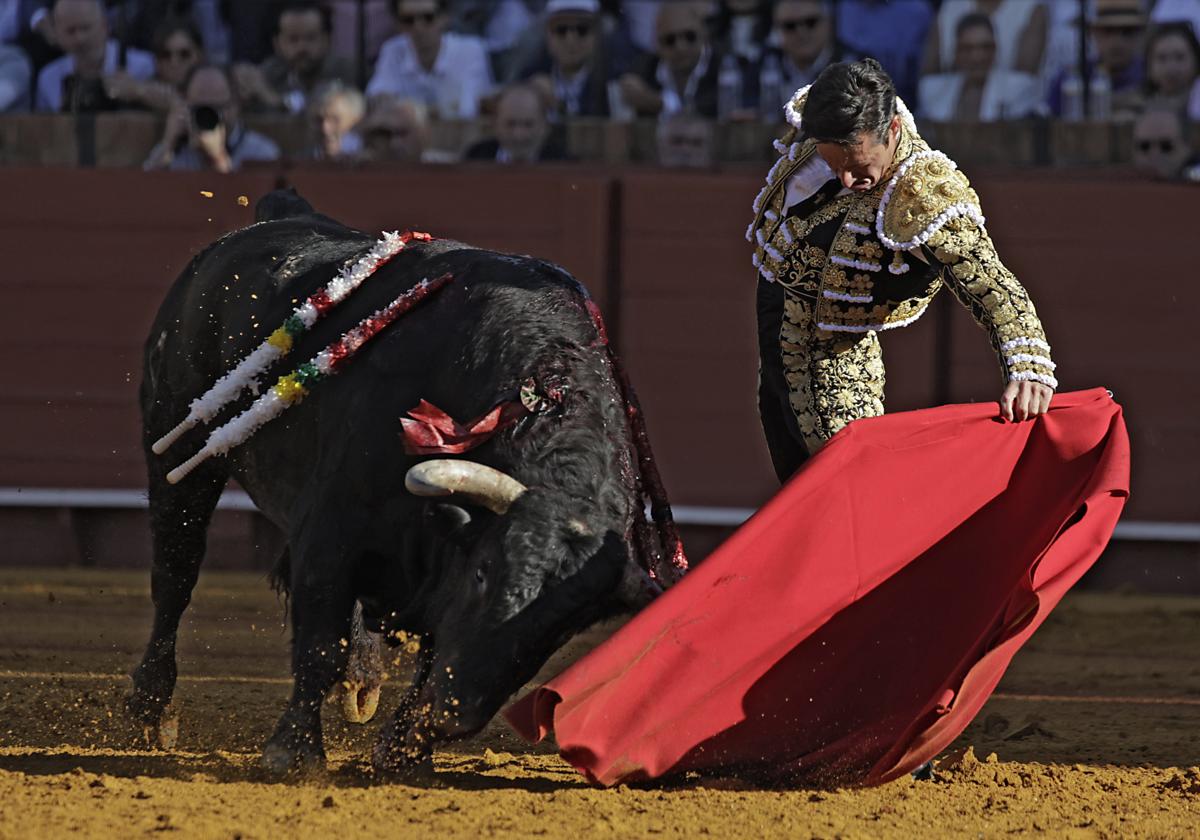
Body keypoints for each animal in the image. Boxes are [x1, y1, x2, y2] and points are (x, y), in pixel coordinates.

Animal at [130, 208, 667, 772]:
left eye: (561, 629)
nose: (457, 714)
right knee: (176, 573)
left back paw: (361, 686)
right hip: (176, 448)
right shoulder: (330, 530)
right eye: (484, 572)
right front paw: (293, 752)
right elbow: (320, 641)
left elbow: (428, 651)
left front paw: (404, 750)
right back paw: (151, 711)